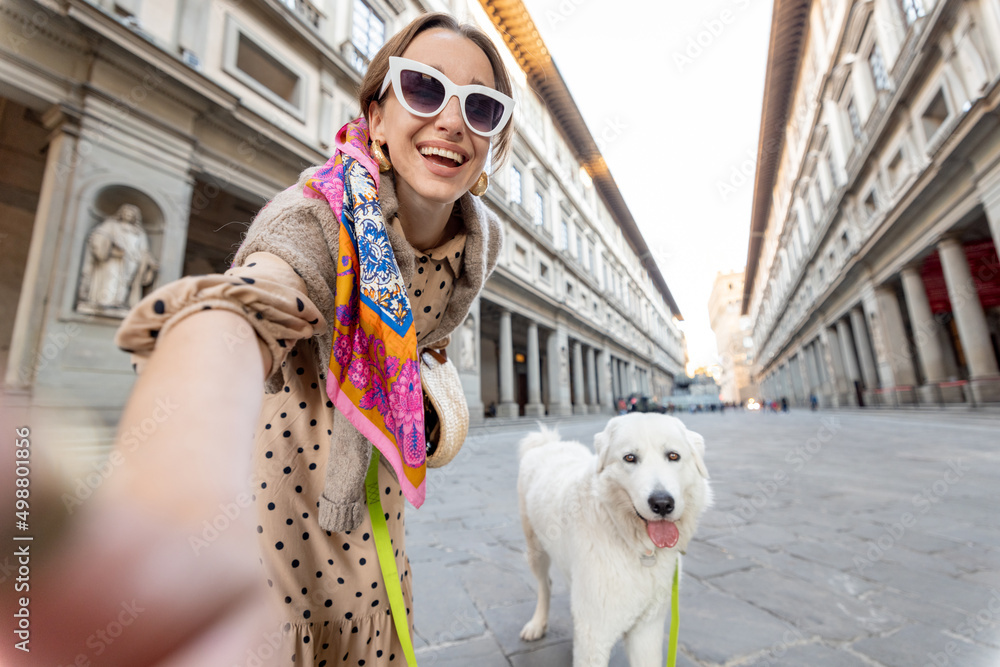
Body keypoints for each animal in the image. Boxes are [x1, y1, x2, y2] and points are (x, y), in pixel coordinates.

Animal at [516, 414, 712, 664]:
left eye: (673, 456)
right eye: (630, 458)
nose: (662, 504)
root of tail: (547, 442)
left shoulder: (647, 628)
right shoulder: (595, 634)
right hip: (536, 550)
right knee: (545, 584)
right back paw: (537, 625)